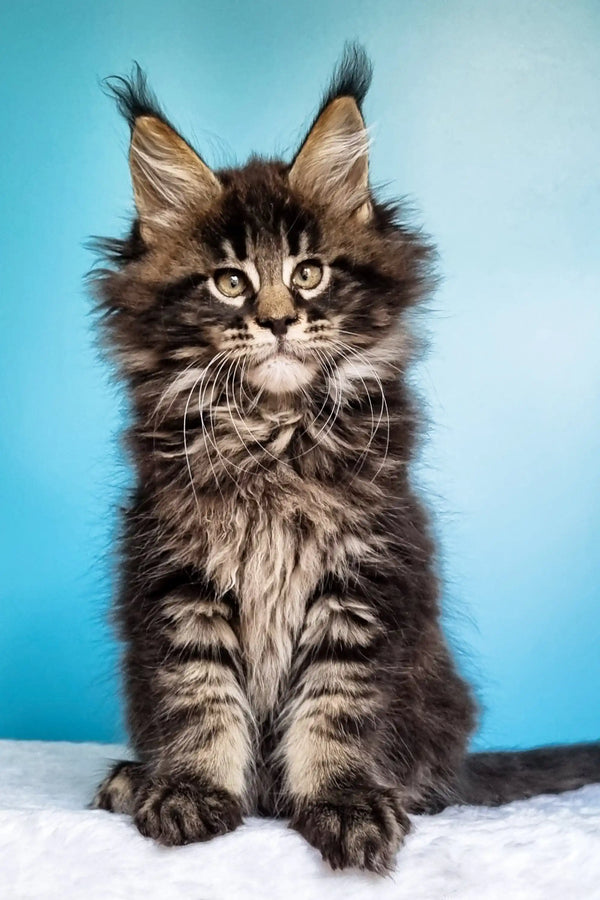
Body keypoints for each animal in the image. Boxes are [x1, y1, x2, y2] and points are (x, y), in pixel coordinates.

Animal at [90, 44, 600, 872]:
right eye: (229, 282)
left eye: (309, 273)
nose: (276, 322)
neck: (273, 437)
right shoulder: (176, 576)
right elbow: (200, 698)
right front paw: (190, 791)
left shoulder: (365, 577)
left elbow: (335, 710)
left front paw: (345, 804)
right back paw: (136, 777)